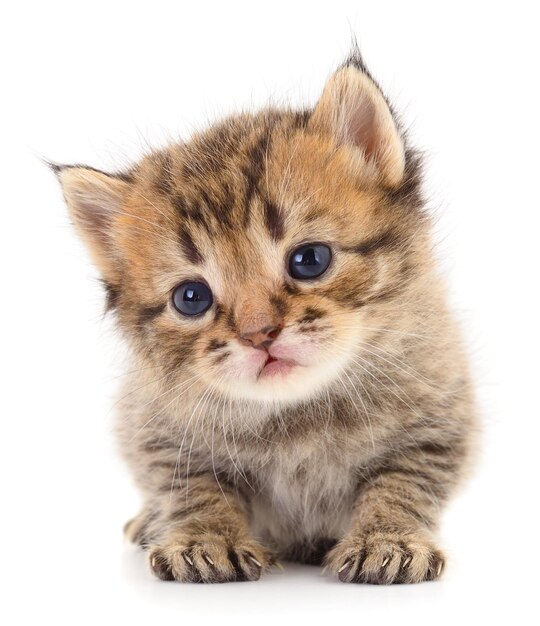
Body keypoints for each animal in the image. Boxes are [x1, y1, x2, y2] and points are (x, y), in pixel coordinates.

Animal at [56, 51, 476, 584]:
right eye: (191, 298)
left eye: (310, 260)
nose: (260, 335)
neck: (298, 413)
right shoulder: (155, 428)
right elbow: (194, 486)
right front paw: (207, 538)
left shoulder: (438, 421)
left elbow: (403, 483)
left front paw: (388, 538)